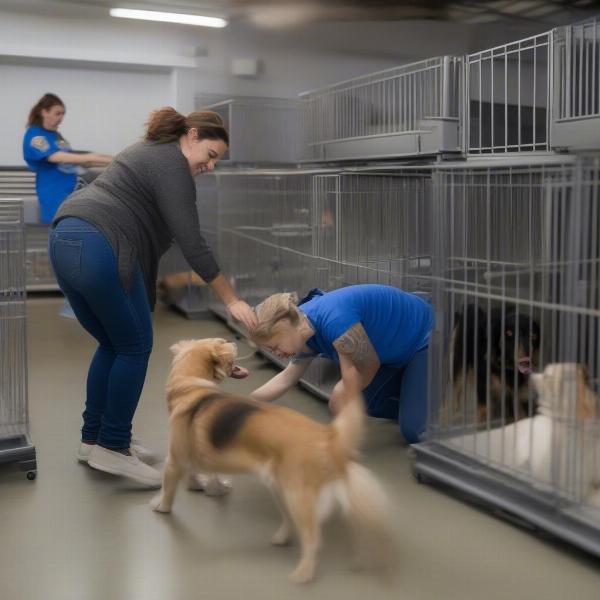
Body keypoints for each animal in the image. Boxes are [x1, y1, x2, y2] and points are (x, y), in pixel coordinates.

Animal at [151, 340, 394, 584]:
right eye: (221, 342)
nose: (232, 340)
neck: (191, 387)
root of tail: (329, 437)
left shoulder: (174, 460)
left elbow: (168, 489)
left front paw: (162, 506)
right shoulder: (191, 457)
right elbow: (203, 475)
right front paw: (205, 486)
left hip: (297, 497)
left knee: (313, 539)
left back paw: (304, 572)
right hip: (285, 492)